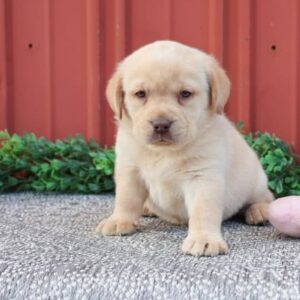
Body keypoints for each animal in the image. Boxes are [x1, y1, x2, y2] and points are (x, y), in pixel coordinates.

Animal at [95, 39, 272, 255]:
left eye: (185, 94)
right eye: (141, 94)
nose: (161, 124)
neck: (163, 152)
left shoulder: (203, 176)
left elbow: (203, 210)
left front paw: (204, 239)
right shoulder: (130, 169)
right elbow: (125, 199)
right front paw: (118, 220)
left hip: (255, 180)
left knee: (265, 196)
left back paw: (259, 211)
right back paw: (147, 208)